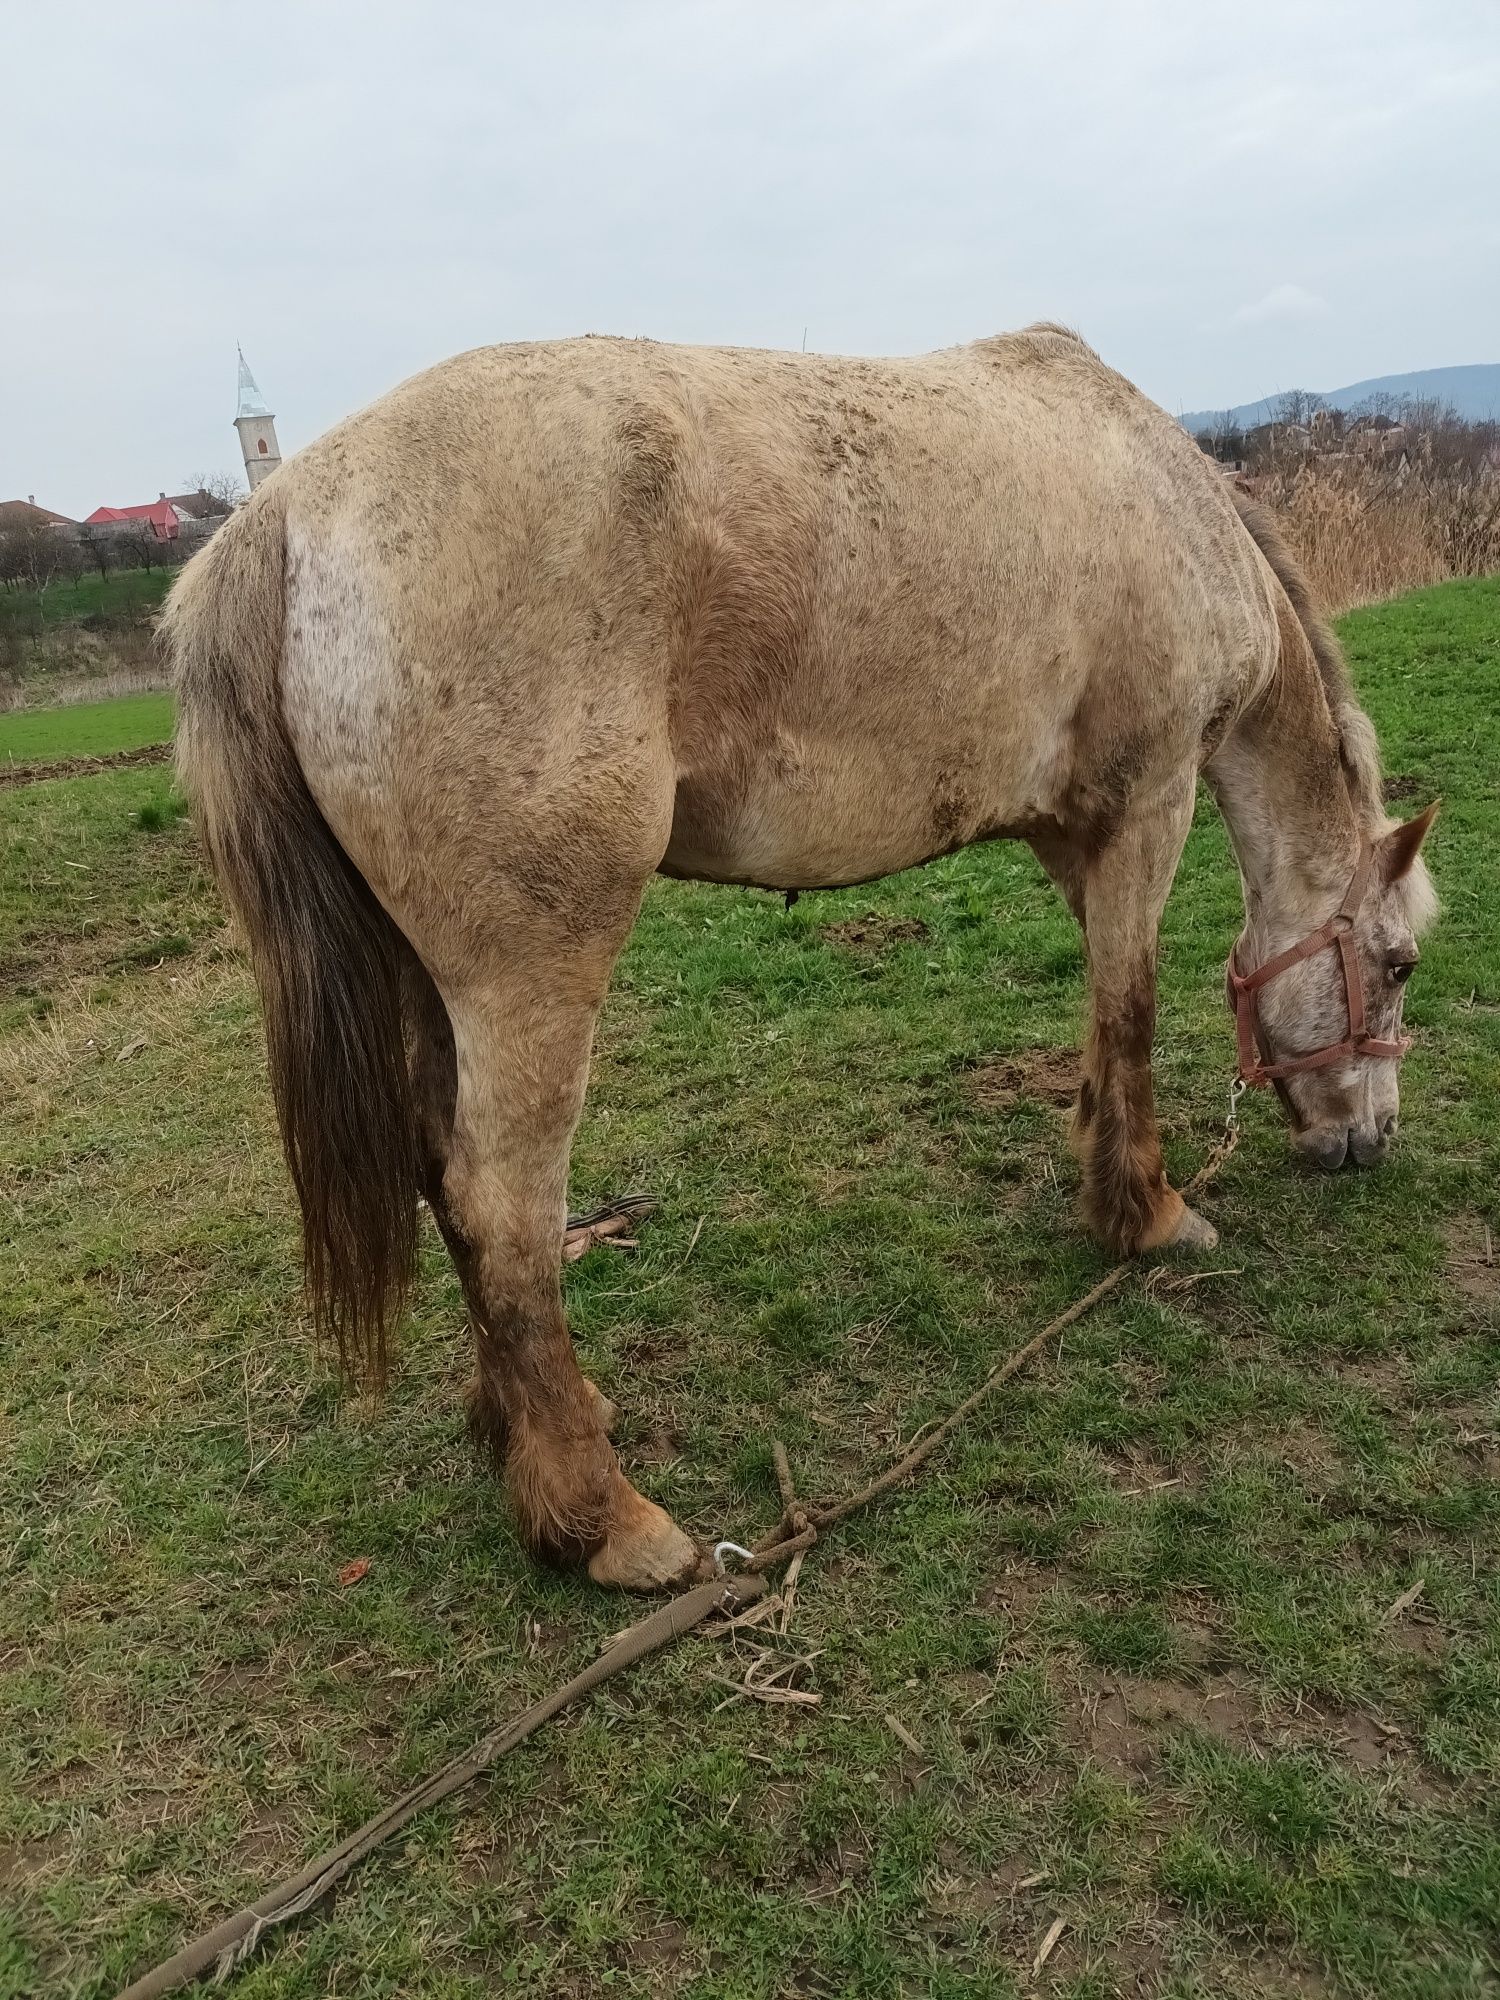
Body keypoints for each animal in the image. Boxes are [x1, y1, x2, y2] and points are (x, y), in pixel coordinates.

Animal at [162, 320, 1432, 1584]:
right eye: (1400, 963)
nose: (1369, 1141)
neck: (1169, 495)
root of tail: (285, 516)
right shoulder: (1149, 804)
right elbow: (1131, 1012)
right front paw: (1151, 1215)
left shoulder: (1073, 834)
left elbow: (1096, 1014)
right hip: (530, 978)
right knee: (502, 1206)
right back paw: (601, 1520)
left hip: (436, 983)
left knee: (443, 1176)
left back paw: (524, 1428)